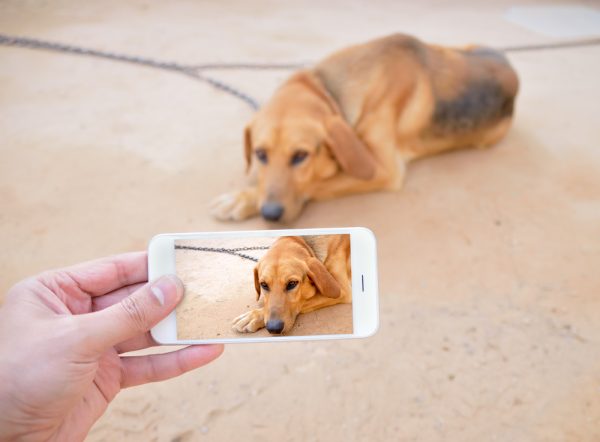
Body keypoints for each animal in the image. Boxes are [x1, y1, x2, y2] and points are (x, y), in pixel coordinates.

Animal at [209, 32, 516, 223]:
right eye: (260, 154)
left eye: (300, 156)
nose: (270, 214)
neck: (327, 91)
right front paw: (248, 194)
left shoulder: (382, 169)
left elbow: (319, 182)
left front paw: (245, 198)